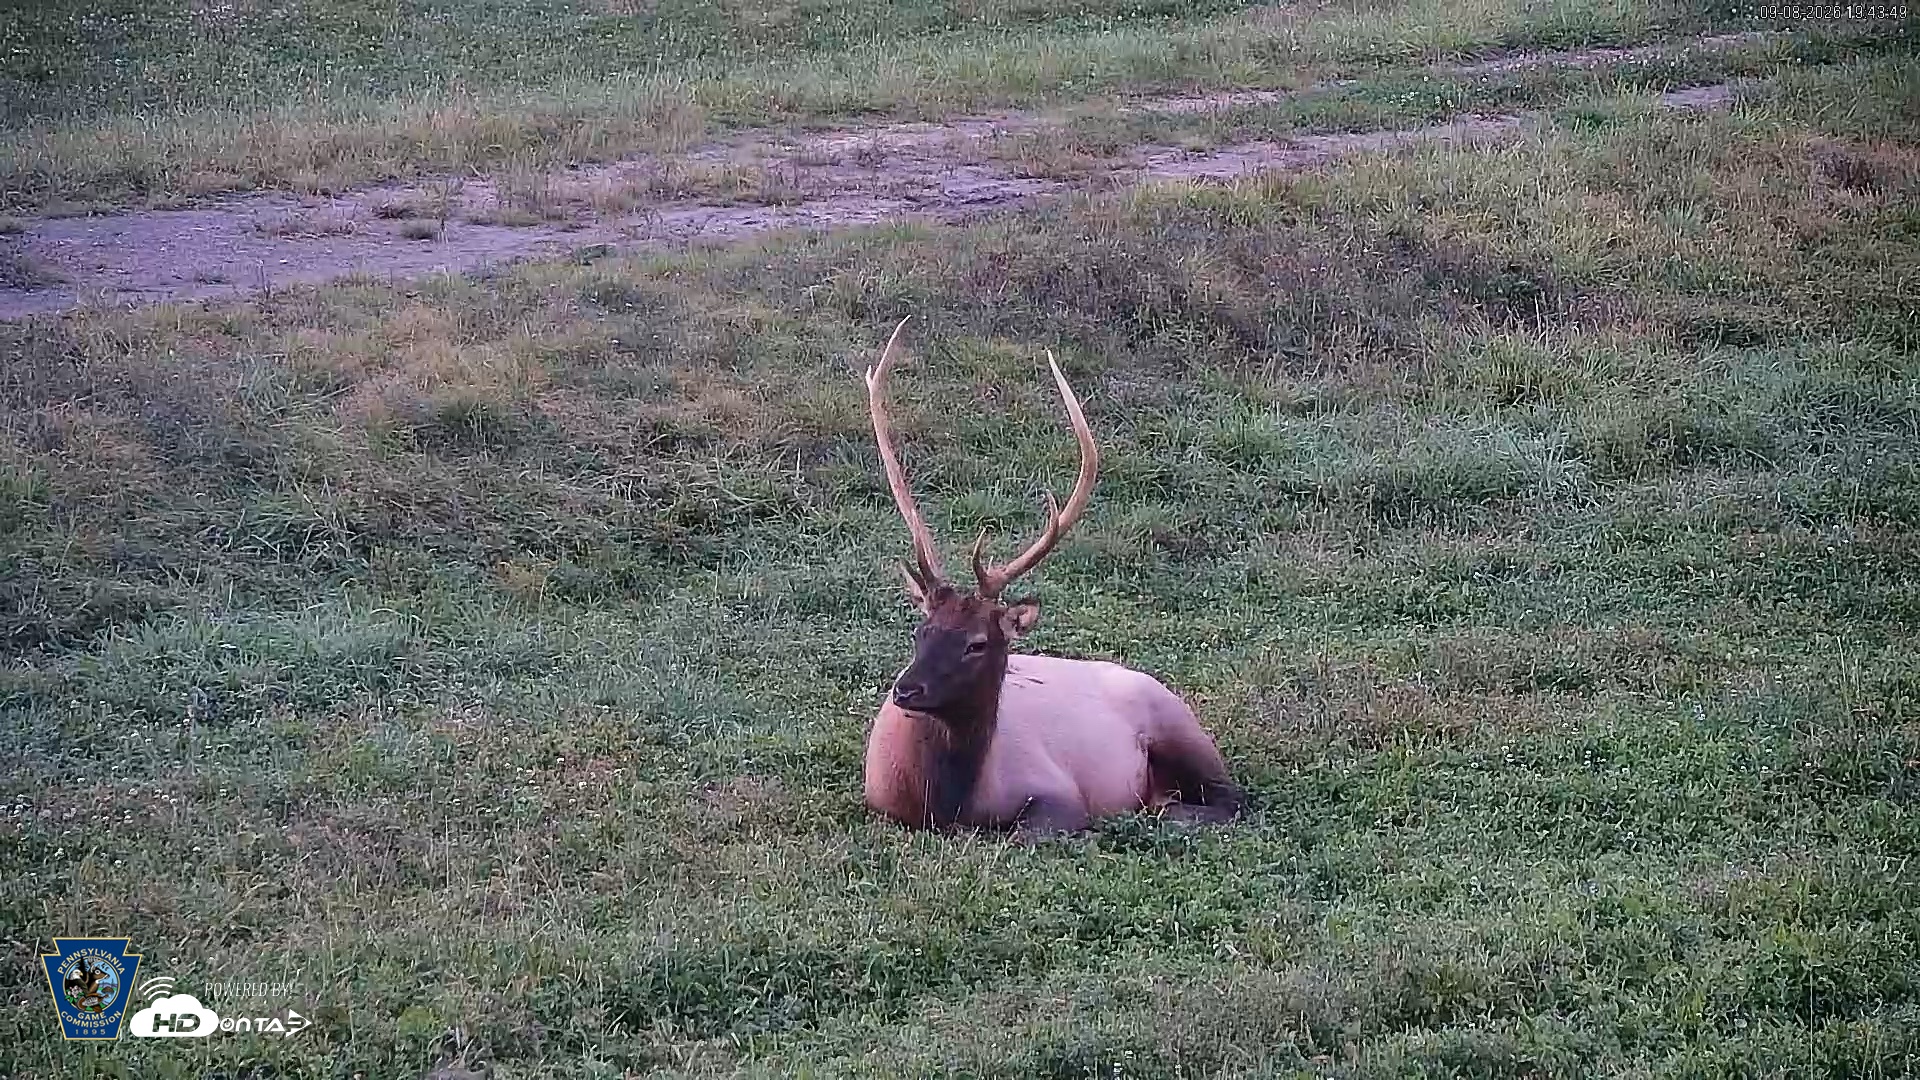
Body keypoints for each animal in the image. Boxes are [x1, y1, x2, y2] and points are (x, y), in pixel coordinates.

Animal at [860, 316, 1245, 838]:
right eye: (921, 630)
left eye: (977, 642)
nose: (907, 689)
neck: (943, 803)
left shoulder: (1057, 792)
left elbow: (1031, 830)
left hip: (1181, 726)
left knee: (1231, 797)